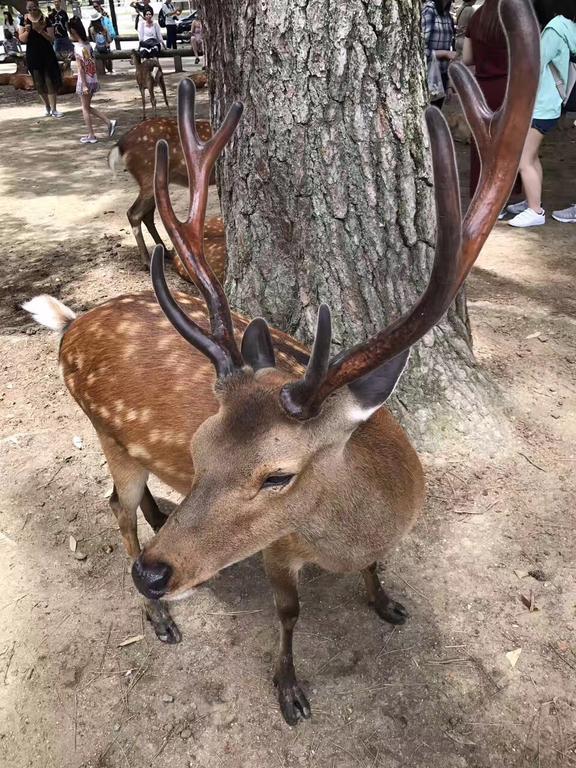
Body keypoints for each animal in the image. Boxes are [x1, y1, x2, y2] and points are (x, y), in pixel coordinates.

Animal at [107, 112, 226, 280]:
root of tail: (120, 146)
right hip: (148, 176)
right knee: (133, 212)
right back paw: (147, 261)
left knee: (147, 214)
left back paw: (166, 252)